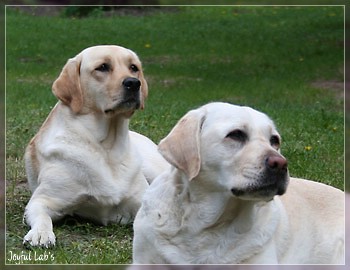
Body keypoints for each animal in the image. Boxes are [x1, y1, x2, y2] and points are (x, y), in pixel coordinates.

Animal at [22, 44, 169, 247]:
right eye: (103, 67)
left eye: (134, 67)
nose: (133, 83)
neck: (107, 147)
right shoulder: (42, 200)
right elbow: (43, 217)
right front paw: (41, 234)